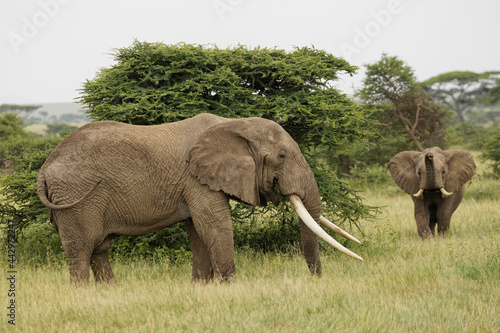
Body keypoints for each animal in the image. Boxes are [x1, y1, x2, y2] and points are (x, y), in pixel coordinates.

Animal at [37, 113, 362, 282]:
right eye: (282, 156)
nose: (316, 279)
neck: (234, 123)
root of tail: (44, 168)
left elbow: (197, 230)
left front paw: (201, 286)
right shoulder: (197, 180)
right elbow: (214, 225)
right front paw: (230, 286)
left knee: (98, 249)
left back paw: (110, 292)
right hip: (76, 198)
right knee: (81, 249)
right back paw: (83, 293)